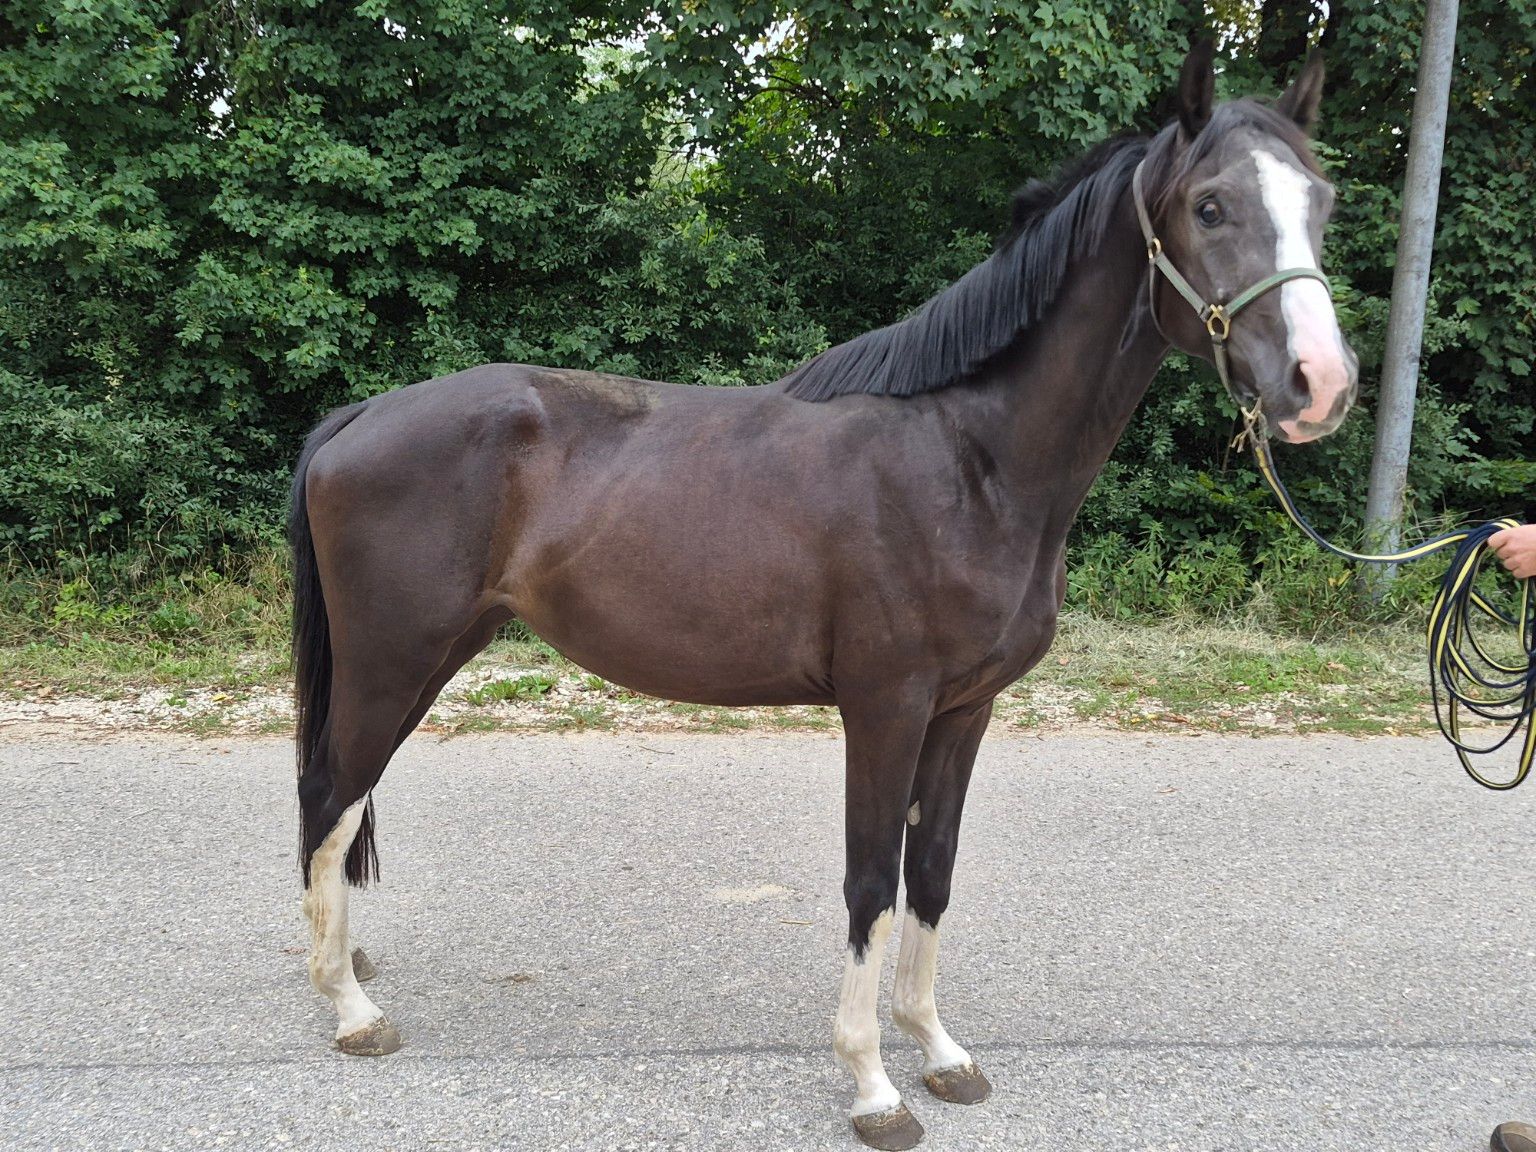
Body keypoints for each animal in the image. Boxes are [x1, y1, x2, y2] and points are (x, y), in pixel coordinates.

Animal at [289, 44, 1358, 1150]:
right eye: (1211, 205)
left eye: (1322, 201)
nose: (1320, 384)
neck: (970, 458)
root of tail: (359, 417)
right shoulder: (885, 707)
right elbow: (870, 882)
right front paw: (873, 1083)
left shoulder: (964, 711)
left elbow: (931, 874)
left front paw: (938, 1050)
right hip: (392, 660)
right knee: (330, 795)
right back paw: (352, 1009)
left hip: (428, 659)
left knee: (337, 800)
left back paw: (344, 962)